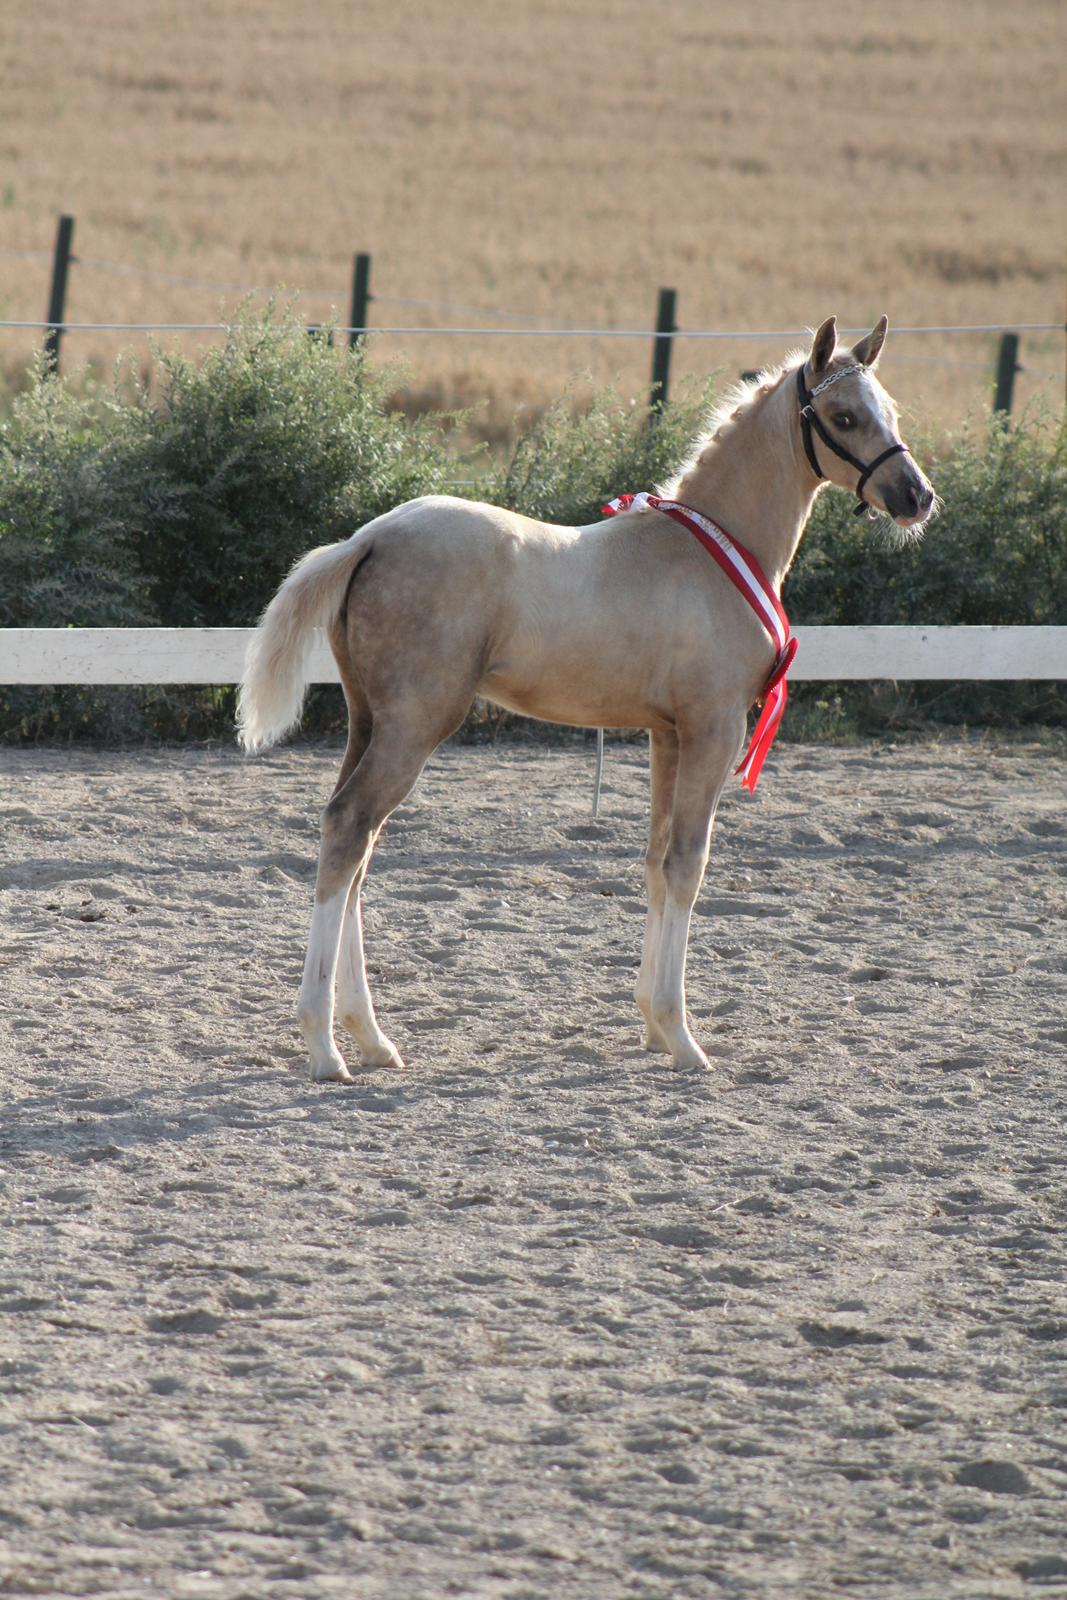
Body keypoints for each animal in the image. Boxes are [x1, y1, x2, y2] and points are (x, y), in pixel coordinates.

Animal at [239, 312, 934, 1081]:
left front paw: (652, 1028)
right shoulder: (714, 728)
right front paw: (683, 1038)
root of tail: (368, 538)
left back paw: (371, 1038)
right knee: (348, 831)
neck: (713, 552)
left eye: (890, 409)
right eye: (843, 416)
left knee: (357, 847)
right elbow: (688, 866)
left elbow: (656, 863)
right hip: (415, 725)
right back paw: (325, 1047)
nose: (917, 497)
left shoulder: (668, 734)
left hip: (369, 721)